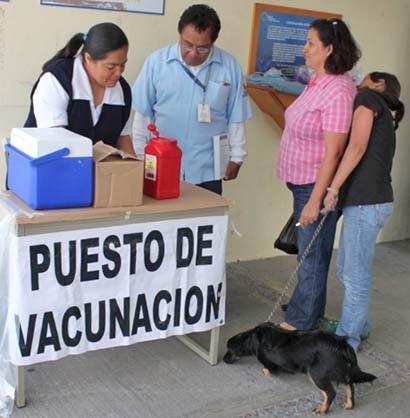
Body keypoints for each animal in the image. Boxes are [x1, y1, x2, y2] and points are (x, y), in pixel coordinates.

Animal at [223, 322, 376, 414]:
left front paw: (266, 371)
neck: (252, 338)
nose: (223, 360)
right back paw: (349, 404)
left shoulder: (265, 359)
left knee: (331, 393)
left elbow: (268, 368)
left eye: (229, 350)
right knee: (349, 384)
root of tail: (341, 344)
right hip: (337, 370)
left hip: (316, 373)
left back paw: (322, 410)